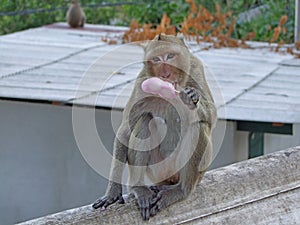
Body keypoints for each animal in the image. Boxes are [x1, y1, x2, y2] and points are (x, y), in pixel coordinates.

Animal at [92, 33, 217, 220]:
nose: (165, 74)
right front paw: (113, 192)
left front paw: (191, 98)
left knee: (198, 126)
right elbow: (126, 131)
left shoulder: (196, 68)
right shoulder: (142, 82)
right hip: (158, 170)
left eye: (170, 56)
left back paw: (181, 190)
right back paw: (139, 189)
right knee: (145, 120)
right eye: (156, 59)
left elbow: (211, 117)